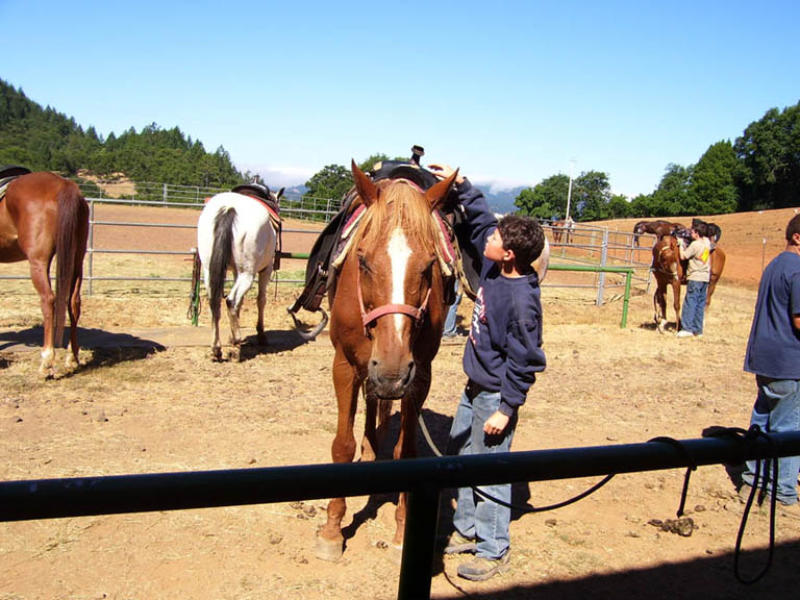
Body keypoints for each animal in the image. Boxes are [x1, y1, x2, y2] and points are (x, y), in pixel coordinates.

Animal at [197, 185, 284, 358]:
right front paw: (260, 335)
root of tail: (229, 208)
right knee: (230, 300)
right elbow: (261, 300)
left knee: (215, 302)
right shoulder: (266, 270)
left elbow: (241, 301)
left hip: (209, 271)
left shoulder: (235, 272)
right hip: (247, 274)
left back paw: (216, 347)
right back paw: (237, 337)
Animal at [316, 162, 460, 560]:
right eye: (363, 260)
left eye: (429, 265)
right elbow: (342, 446)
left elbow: (406, 451)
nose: (392, 371)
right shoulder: (344, 366)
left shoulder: (419, 375)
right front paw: (332, 531)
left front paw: (401, 531)